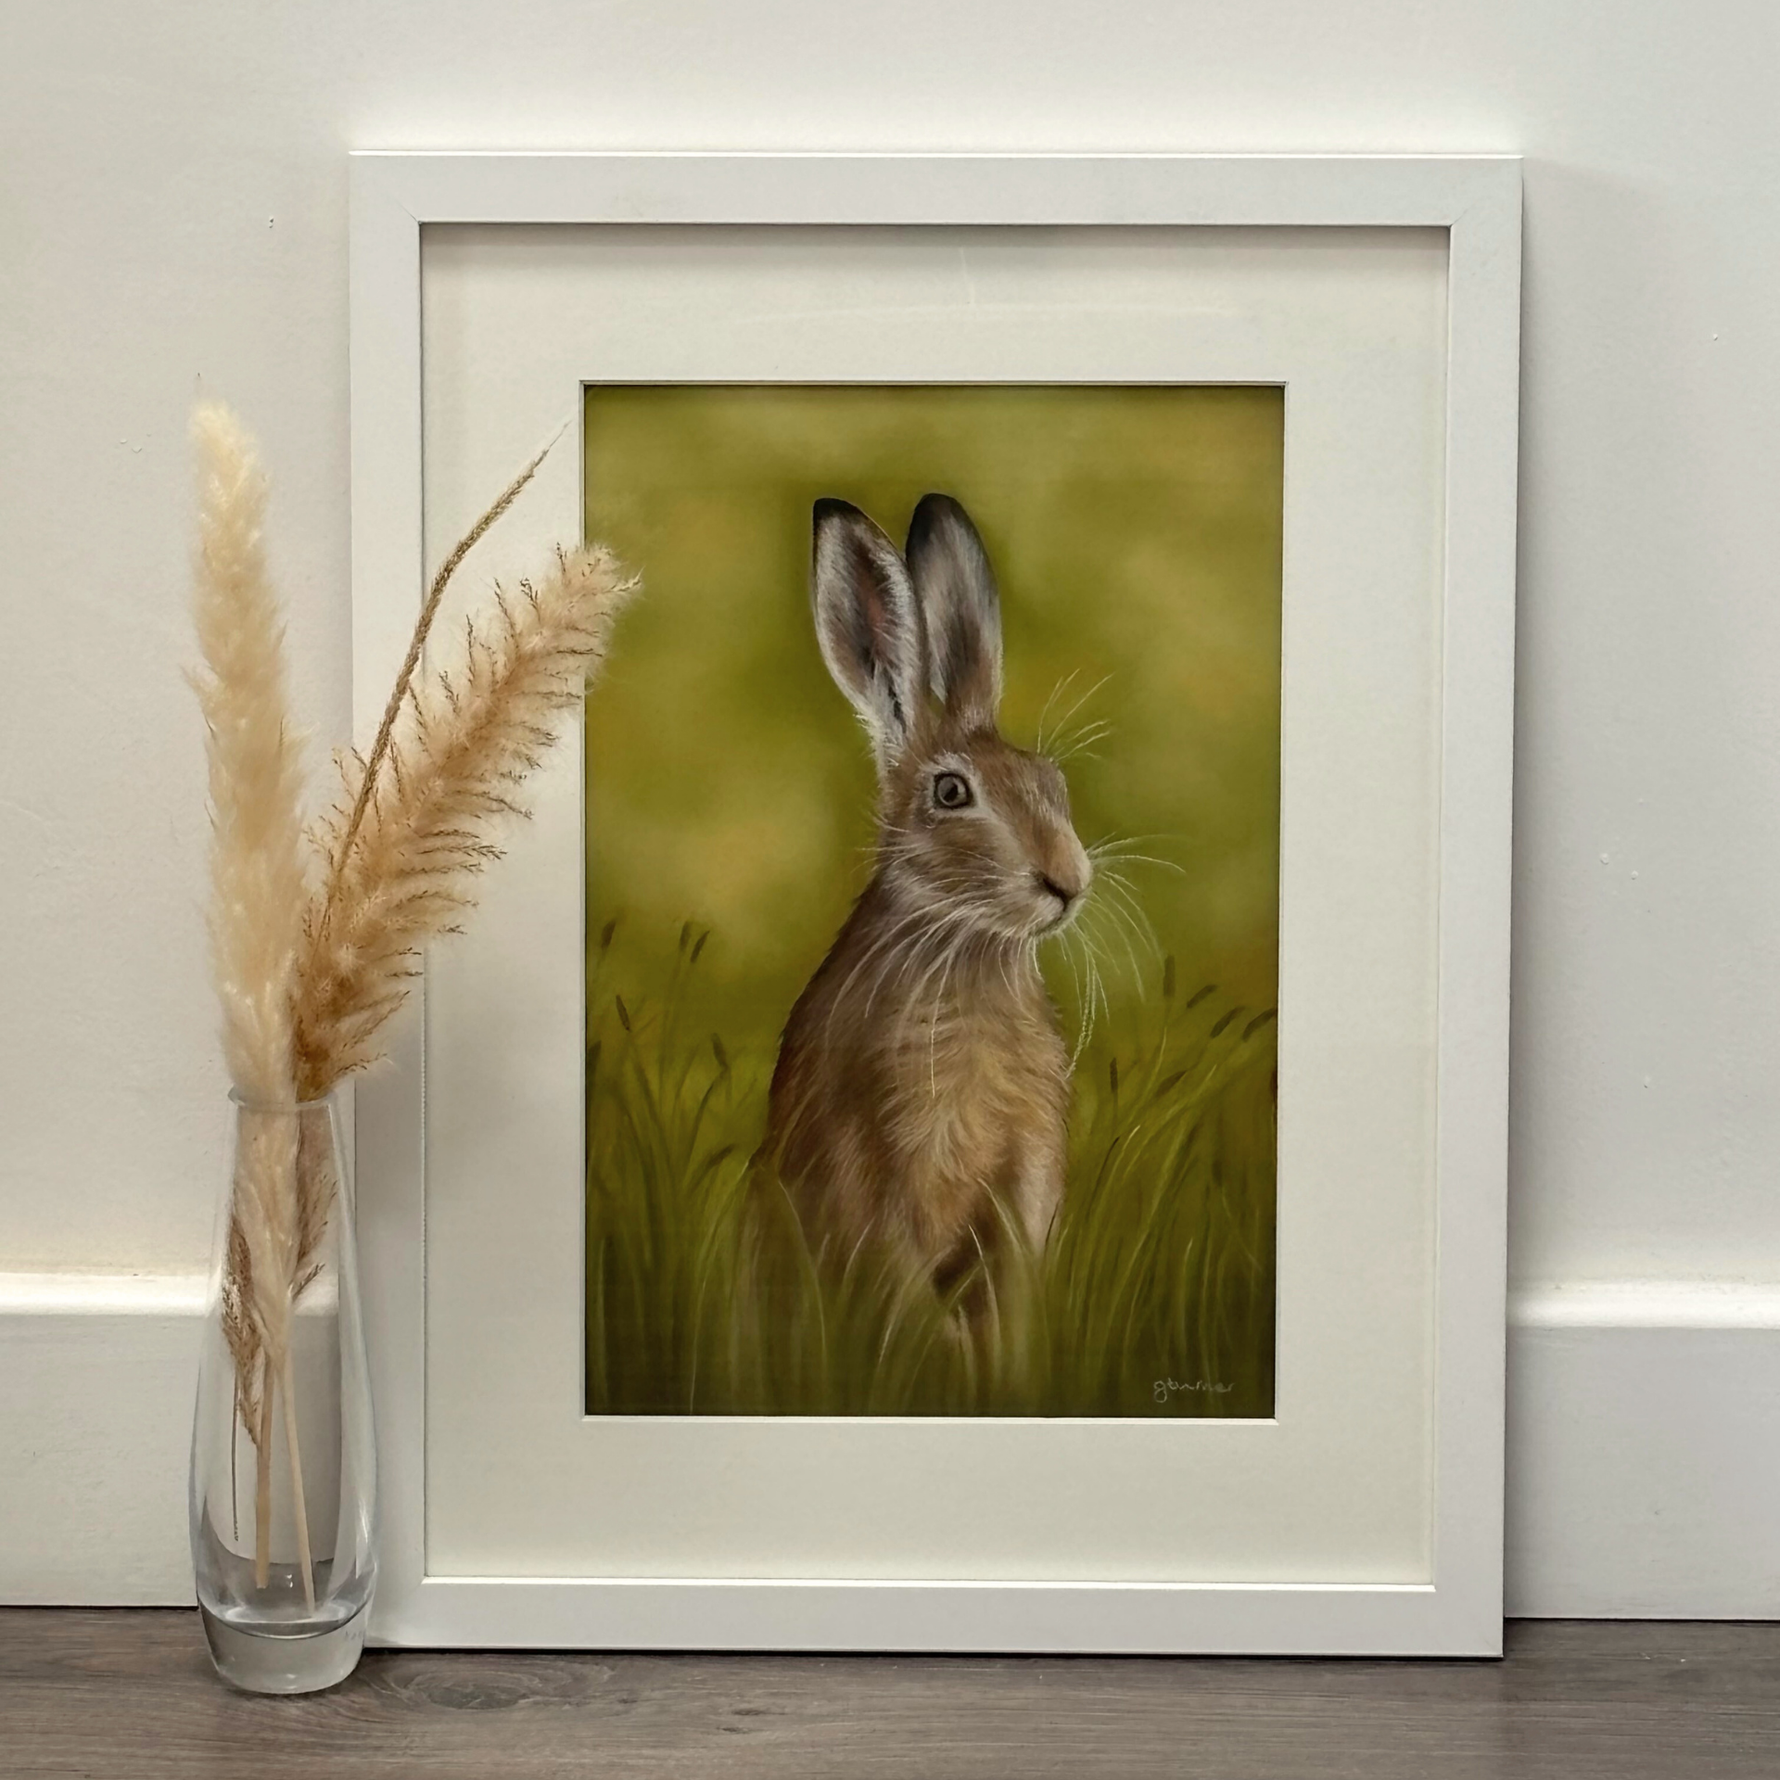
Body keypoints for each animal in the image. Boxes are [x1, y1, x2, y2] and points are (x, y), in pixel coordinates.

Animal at [761, 493, 1092, 1306]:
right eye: (949, 794)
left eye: (1051, 781)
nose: (1068, 881)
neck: (968, 946)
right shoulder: (887, 1175)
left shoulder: (1024, 1186)